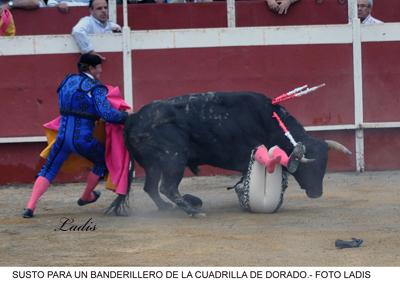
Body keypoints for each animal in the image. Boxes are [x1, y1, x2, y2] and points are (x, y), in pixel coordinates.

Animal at [108, 90, 352, 216]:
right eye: (310, 166)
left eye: (325, 165)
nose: (317, 193)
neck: (270, 121)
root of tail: (133, 118)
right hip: (173, 157)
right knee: (167, 187)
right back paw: (192, 210)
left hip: (154, 164)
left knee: (151, 187)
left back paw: (167, 208)